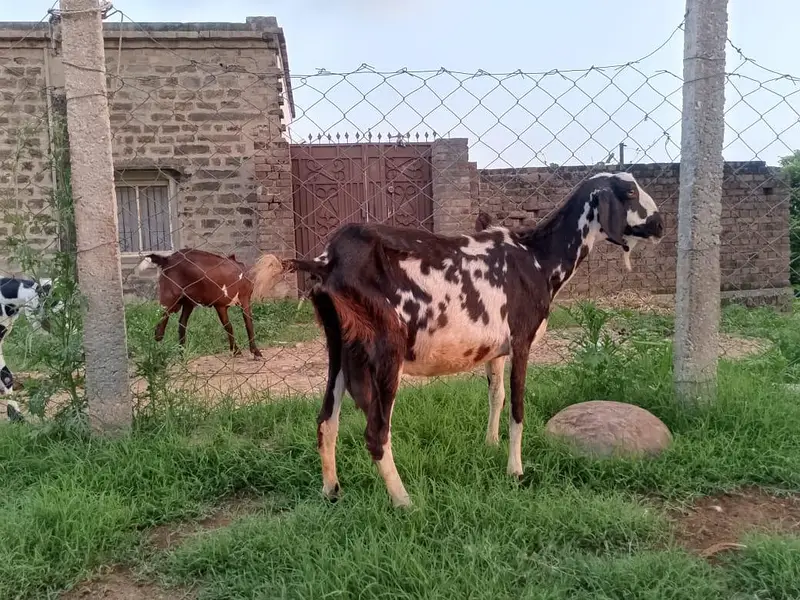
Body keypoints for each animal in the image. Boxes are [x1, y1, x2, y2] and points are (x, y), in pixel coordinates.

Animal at [135, 248, 278, 359]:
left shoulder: (227, 304)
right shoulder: (233, 301)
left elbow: (234, 325)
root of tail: (167, 259)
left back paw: (182, 353)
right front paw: (251, 351)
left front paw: (238, 350)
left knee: (181, 324)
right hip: (170, 298)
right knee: (160, 328)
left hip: (188, 302)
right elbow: (241, 324)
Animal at [251, 172, 664, 508]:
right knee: (376, 432)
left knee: (326, 421)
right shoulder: (522, 340)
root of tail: (326, 261)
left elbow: (497, 395)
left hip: (339, 347)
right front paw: (516, 471)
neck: (536, 258)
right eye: (629, 191)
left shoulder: (496, 350)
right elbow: (518, 406)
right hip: (386, 351)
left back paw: (332, 491)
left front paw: (490, 445)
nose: (660, 224)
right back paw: (404, 502)